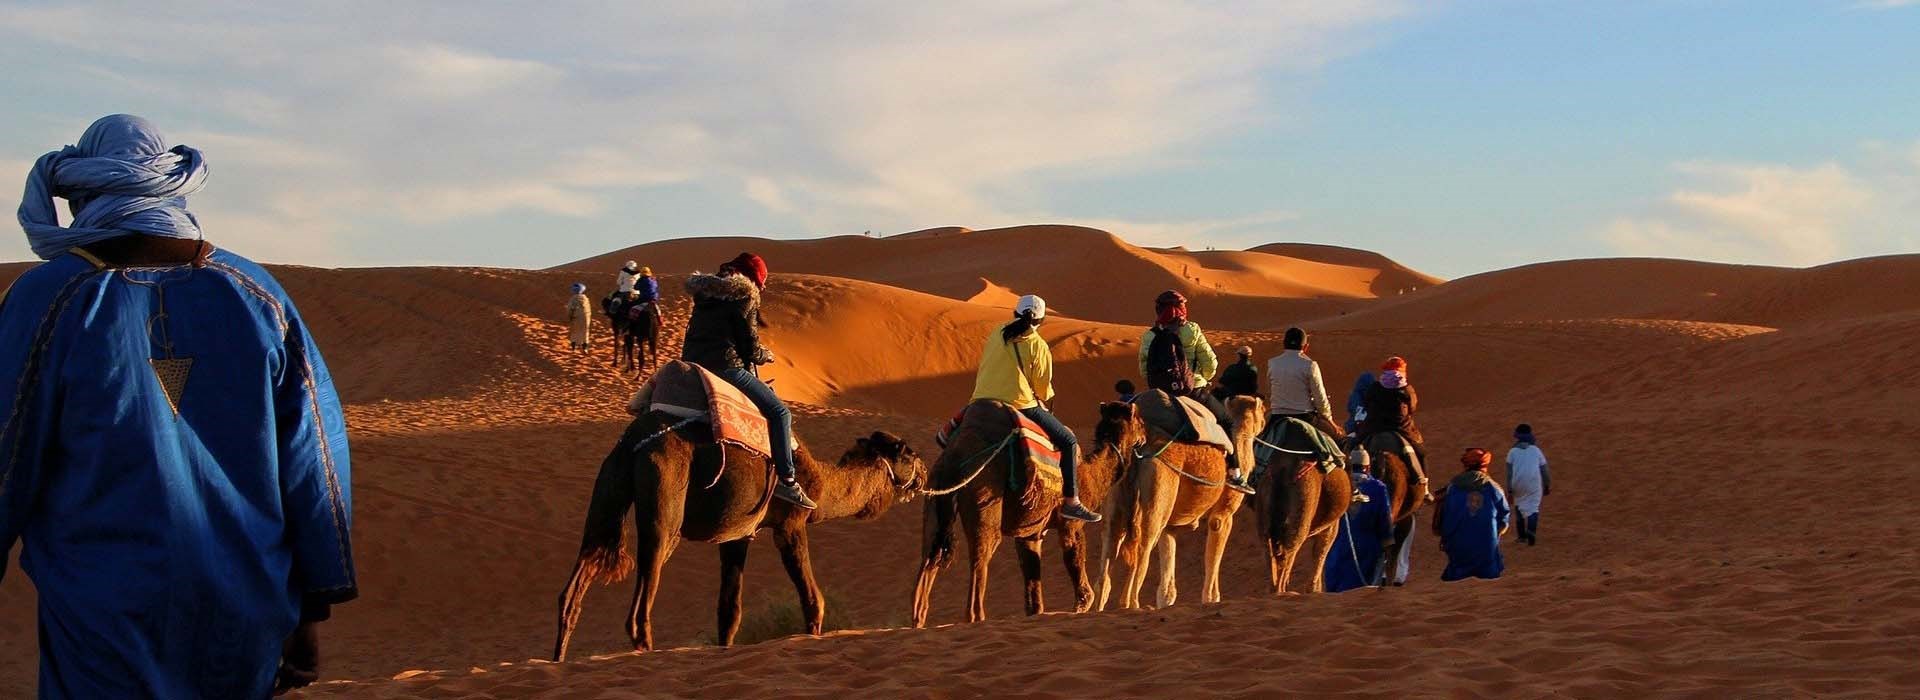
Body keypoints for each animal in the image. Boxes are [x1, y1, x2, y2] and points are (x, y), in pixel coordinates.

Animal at [552, 408, 925, 659]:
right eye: (908, 453)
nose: (924, 472)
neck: (819, 483)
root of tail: (633, 442)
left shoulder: (738, 535)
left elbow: (729, 610)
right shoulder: (790, 525)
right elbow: (813, 601)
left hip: (608, 489)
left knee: (577, 581)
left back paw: (559, 660)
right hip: (664, 499)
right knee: (641, 601)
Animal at [910, 400, 1144, 625]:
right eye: (1140, 422)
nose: (1144, 437)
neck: (1090, 474)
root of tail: (954, 455)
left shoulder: (1030, 533)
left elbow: (1032, 586)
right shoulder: (1070, 524)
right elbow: (1075, 561)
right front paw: (1081, 605)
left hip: (936, 491)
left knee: (929, 559)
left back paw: (918, 622)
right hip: (984, 496)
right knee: (979, 560)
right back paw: (977, 617)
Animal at [1105, 395, 1267, 609]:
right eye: (1262, 411)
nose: (1266, 416)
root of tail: (1137, 450)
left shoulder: (1170, 526)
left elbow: (1167, 583)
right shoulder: (1223, 515)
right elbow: (1213, 560)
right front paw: (1211, 600)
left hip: (1118, 503)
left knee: (1106, 569)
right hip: (1155, 503)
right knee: (1141, 556)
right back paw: (1133, 605)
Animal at [1244, 414, 1351, 594]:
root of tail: (1282, 468)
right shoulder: (1331, 525)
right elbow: (1320, 554)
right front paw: (1314, 591)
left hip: (1265, 506)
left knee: (1269, 551)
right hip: (1303, 506)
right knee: (1289, 549)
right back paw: (1283, 591)